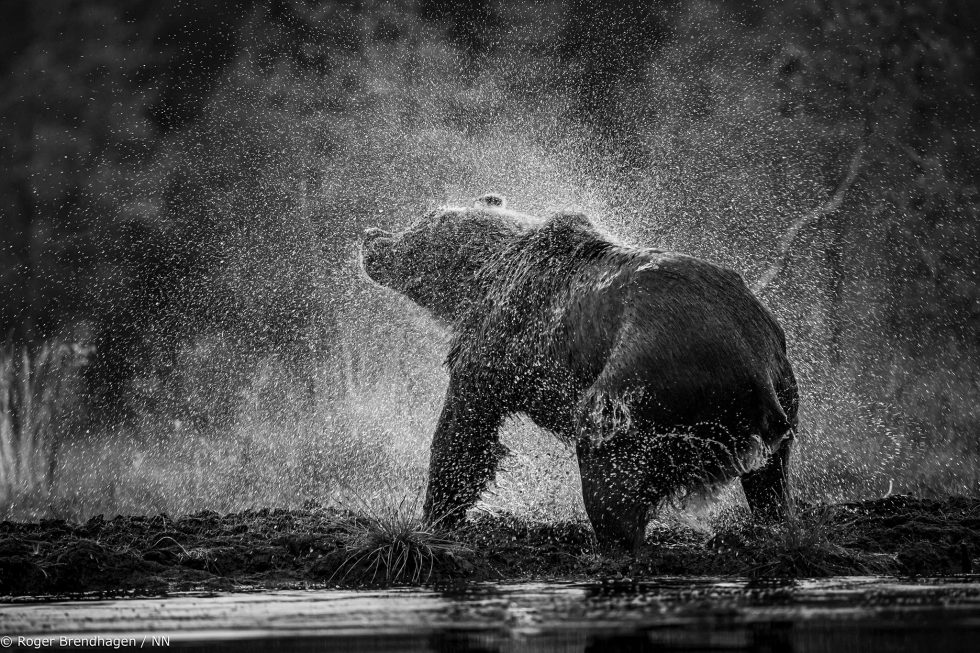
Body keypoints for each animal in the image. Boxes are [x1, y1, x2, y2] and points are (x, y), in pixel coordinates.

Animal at [360, 195, 796, 552]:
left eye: (419, 224)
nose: (369, 237)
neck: (487, 273)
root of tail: (752, 368)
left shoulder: (501, 340)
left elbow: (464, 429)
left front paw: (437, 516)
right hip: (779, 380)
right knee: (770, 481)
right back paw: (771, 523)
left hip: (644, 383)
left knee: (608, 464)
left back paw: (610, 543)